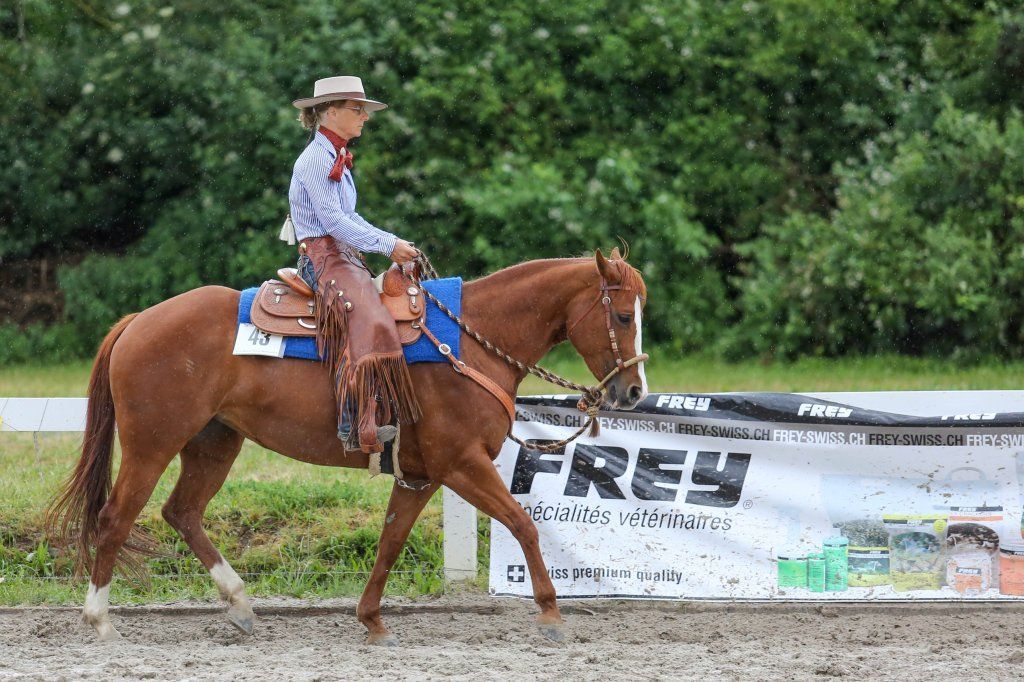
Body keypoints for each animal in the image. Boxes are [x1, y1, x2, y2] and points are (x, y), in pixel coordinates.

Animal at [45, 249, 649, 644]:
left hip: (214, 442)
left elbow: (390, 541)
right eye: (623, 315)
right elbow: (522, 523)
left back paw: (239, 605)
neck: (468, 341)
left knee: (182, 512)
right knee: (116, 518)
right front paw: (549, 611)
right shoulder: (462, 464)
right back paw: (100, 620)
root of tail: (137, 321)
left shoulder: (421, 474)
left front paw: (371, 620)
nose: (634, 391)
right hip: (151, 445)